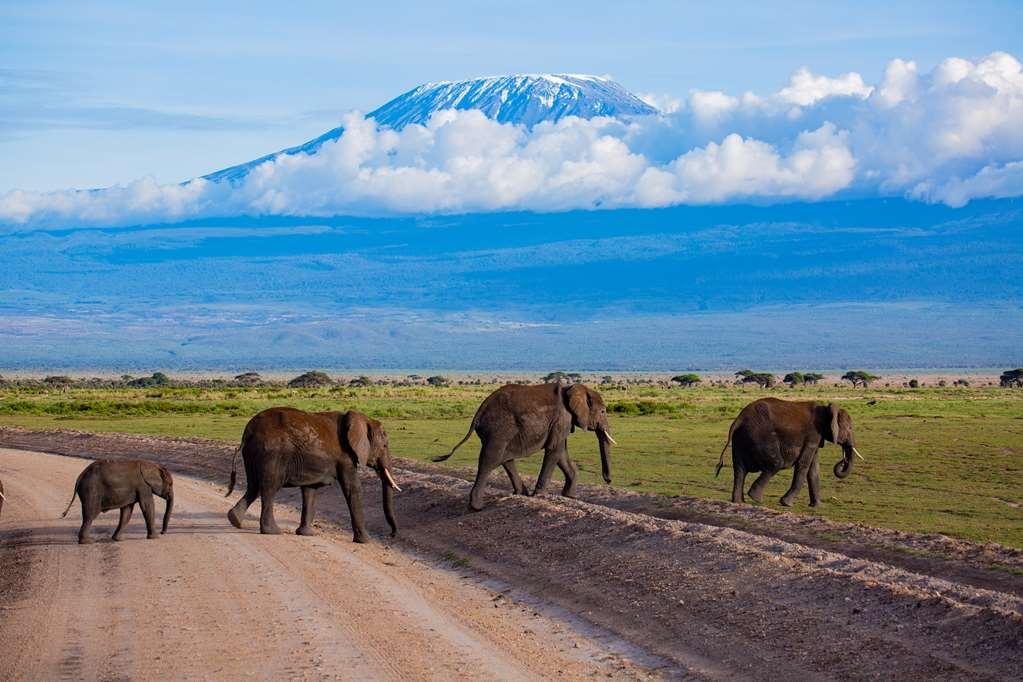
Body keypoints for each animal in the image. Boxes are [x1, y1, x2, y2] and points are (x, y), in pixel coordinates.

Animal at [227, 404, 398, 543]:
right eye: (384, 446)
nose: (392, 535)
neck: (361, 418)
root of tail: (248, 431)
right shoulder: (345, 457)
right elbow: (353, 488)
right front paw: (365, 541)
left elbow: (310, 491)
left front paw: (306, 534)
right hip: (272, 454)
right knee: (269, 488)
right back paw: (272, 531)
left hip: (253, 453)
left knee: (254, 486)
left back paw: (235, 520)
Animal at [431, 384, 613, 511]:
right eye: (603, 412)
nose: (608, 480)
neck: (574, 388)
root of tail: (479, 411)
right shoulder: (562, 419)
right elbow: (554, 450)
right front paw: (539, 495)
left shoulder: (562, 423)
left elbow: (560, 452)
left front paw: (569, 496)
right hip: (499, 428)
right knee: (490, 459)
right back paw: (476, 507)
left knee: (504, 457)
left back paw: (521, 493)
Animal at [716, 394, 867, 507]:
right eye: (850, 428)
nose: (842, 461)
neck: (826, 409)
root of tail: (739, 419)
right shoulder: (813, 434)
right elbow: (804, 465)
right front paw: (786, 503)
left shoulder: (816, 438)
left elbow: (813, 469)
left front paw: (817, 506)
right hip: (760, 436)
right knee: (775, 464)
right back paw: (756, 499)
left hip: (741, 438)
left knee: (740, 470)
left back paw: (739, 502)